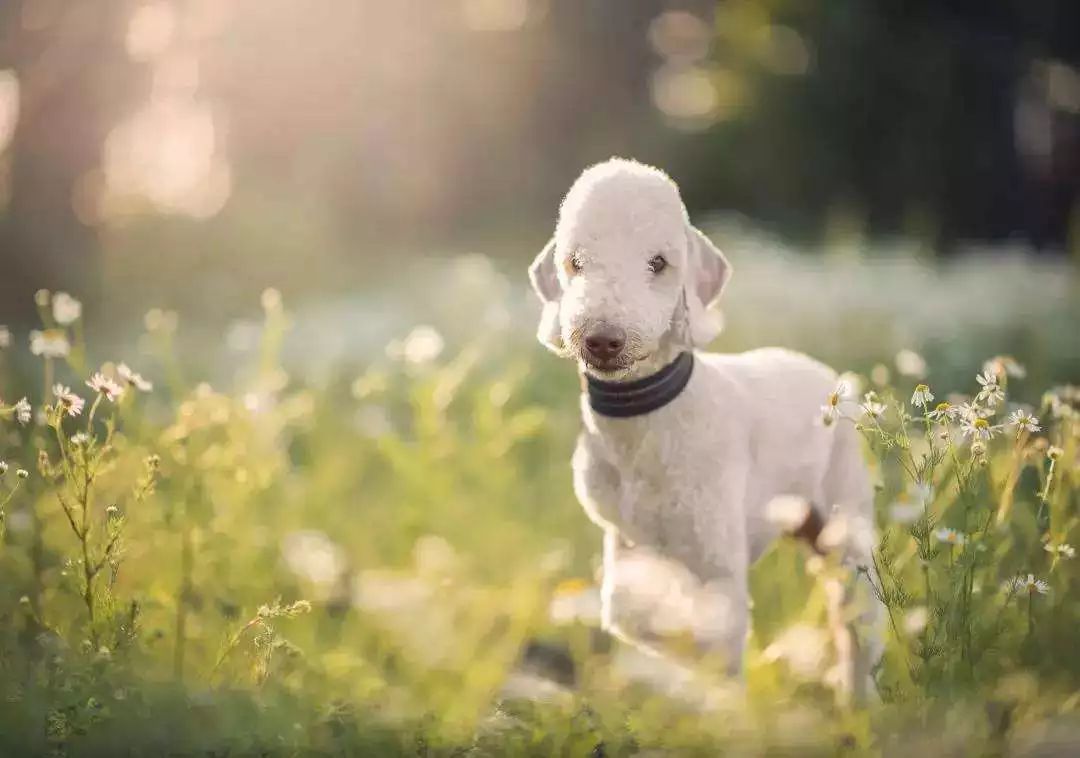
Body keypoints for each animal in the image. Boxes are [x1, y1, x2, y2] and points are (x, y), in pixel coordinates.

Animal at [527, 157, 881, 704]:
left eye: (658, 264)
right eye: (575, 263)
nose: (602, 340)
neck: (647, 423)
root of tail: (834, 380)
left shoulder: (716, 561)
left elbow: (714, 639)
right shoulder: (628, 545)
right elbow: (631, 617)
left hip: (846, 527)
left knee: (858, 620)